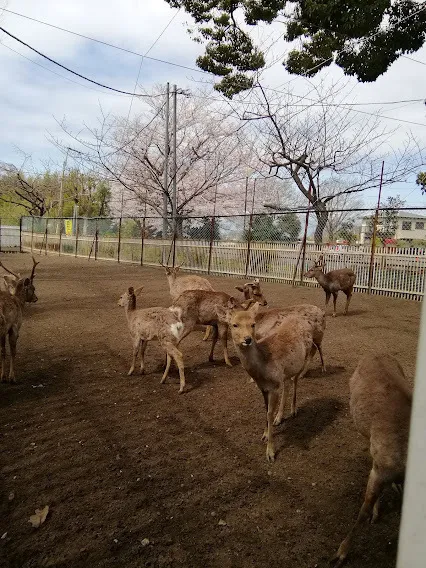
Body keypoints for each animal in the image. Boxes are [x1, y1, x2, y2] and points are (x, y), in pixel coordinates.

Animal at [218, 302, 318, 462]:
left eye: (253, 324)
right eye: (234, 324)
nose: (247, 339)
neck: (262, 369)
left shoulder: (274, 385)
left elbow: (269, 413)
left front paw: (270, 452)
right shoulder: (263, 387)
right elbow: (266, 411)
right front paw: (264, 434)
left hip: (303, 358)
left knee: (295, 381)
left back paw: (293, 410)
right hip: (286, 370)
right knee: (288, 384)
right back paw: (279, 417)